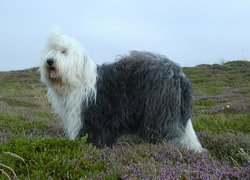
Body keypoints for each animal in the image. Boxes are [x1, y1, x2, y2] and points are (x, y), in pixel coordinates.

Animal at [39, 29, 203, 152]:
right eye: (51, 49)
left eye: (64, 51)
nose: (49, 61)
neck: (77, 80)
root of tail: (178, 73)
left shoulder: (89, 116)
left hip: (161, 111)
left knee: (171, 132)